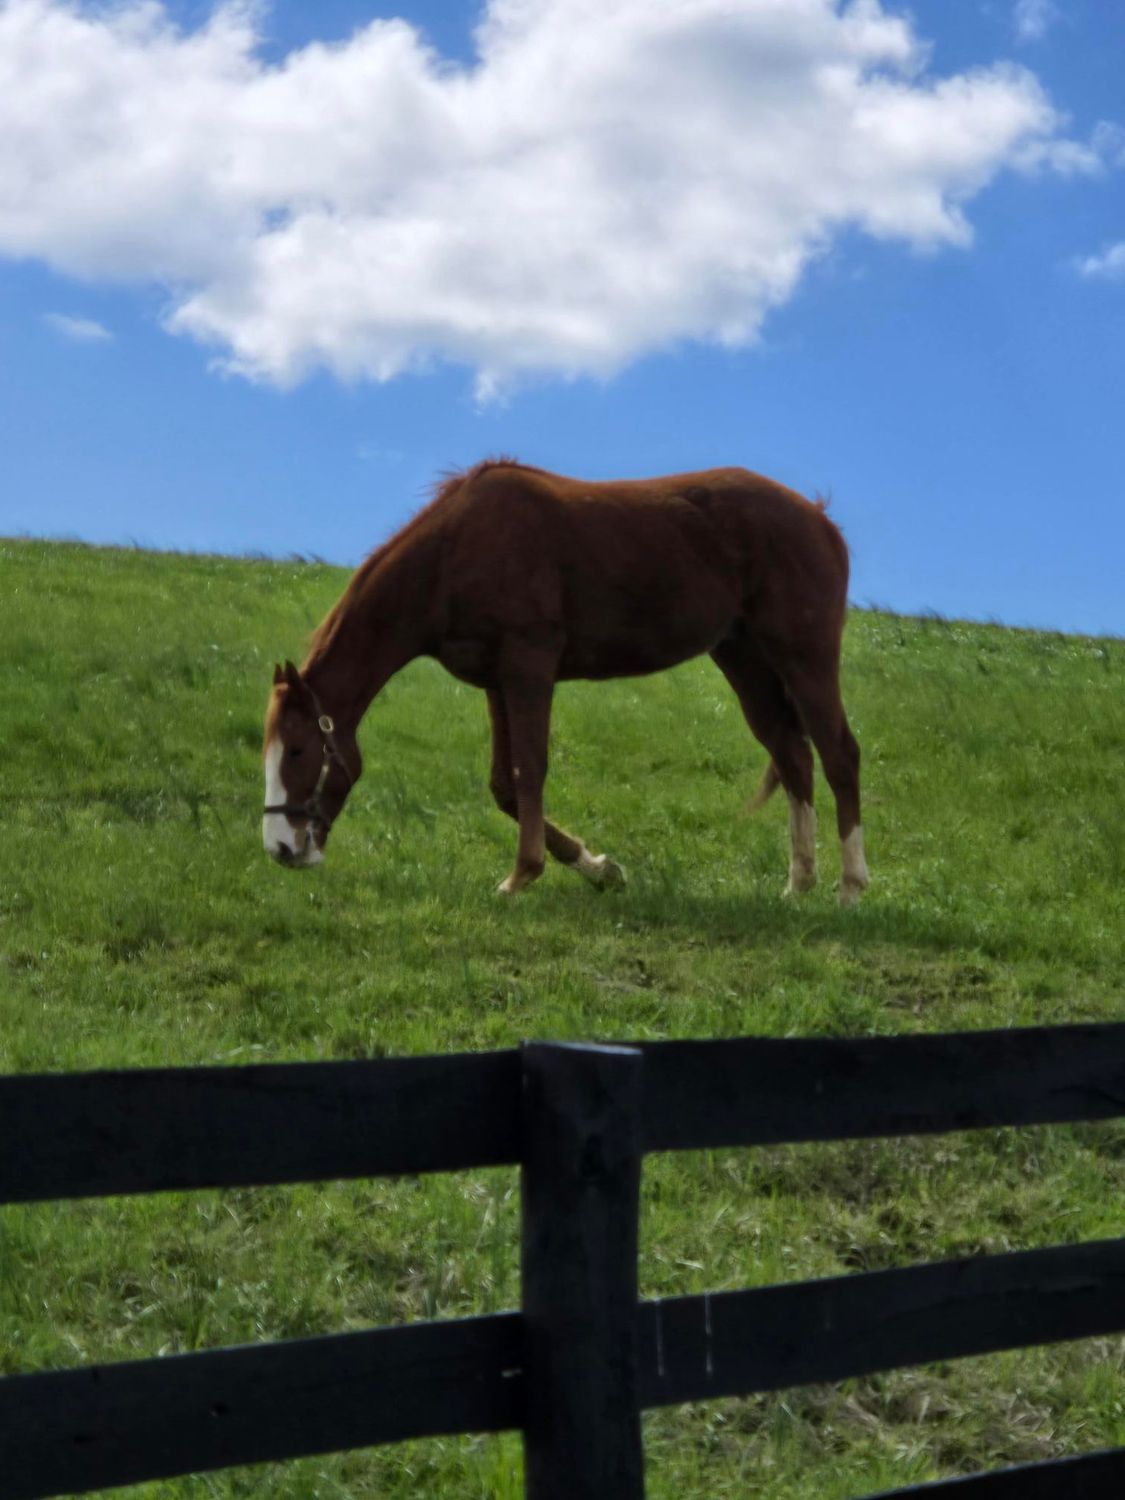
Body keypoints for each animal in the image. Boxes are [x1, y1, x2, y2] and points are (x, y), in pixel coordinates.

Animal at [262, 459, 869, 905]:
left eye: (297, 751)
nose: (281, 850)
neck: (454, 554)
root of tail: (821, 520)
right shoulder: (498, 682)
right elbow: (505, 786)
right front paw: (598, 868)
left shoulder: (530, 667)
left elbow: (529, 771)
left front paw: (521, 876)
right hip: (745, 661)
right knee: (793, 755)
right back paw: (799, 884)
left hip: (805, 658)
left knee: (839, 753)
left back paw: (850, 888)